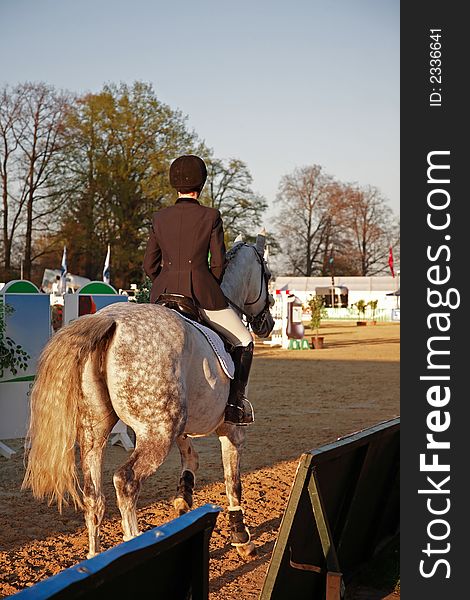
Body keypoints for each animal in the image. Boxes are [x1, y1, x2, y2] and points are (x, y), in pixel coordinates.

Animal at [21, 232, 276, 560]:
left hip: (95, 430)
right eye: (267, 275)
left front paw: (184, 498)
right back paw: (134, 543)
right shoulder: (231, 429)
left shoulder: (180, 426)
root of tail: (110, 321)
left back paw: (94, 557)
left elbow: (191, 458)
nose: (267, 324)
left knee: (93, 495)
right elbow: (234, 482)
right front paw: (241, 537)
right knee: (125, 481)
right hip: (156, 434)